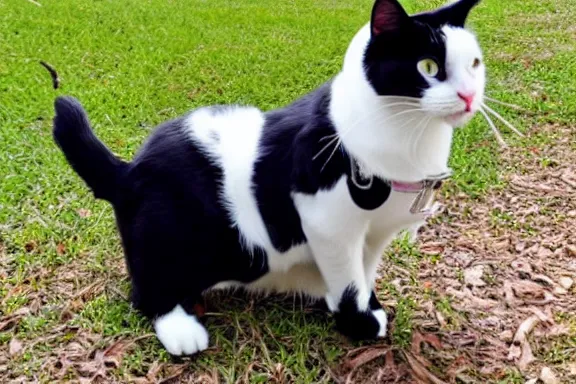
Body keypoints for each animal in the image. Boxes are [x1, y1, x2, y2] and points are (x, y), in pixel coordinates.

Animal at [53, 0, 486, 356]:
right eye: (428, 67)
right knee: (146, 291)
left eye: (475, 64)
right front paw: (357, 323)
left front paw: (366, 304)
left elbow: (362, 272)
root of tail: (128, 169)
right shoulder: (327, 221)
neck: (409, 138)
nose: (469, 96)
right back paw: (181, 329)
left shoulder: (374, 233)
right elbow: (349, 283)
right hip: (169, 236)